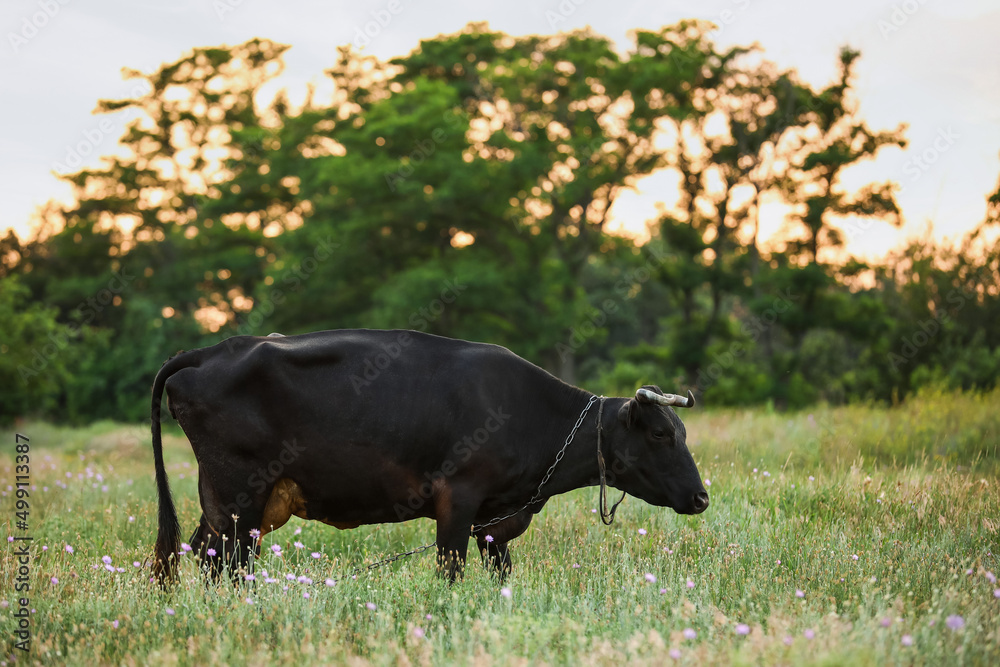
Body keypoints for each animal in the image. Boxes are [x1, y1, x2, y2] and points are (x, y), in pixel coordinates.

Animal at [150, 332, 712, 580]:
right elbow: (450, 571)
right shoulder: (457, 502)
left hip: (229, 502)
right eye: (660, 434)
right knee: (226, 563)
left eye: (681, 431)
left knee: (201, 555)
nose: (702, 497)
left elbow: (501, 574)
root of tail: (213, 350)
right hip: (239, 497)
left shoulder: (494, 519)